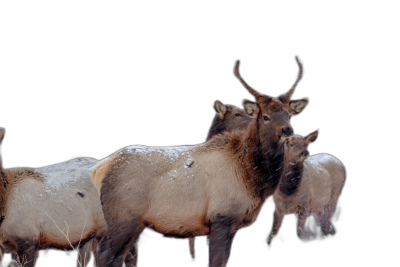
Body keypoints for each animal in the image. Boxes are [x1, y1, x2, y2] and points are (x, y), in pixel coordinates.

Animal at [91, 57, 310, 267]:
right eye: (265, 116)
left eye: (288, 114)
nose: (287, 130)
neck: (252, 181)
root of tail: (99, 170)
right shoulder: (221, 219)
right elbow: (215, 262)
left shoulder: (233, 226)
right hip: (122, 219)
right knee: (103, 254)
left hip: (133, 224)